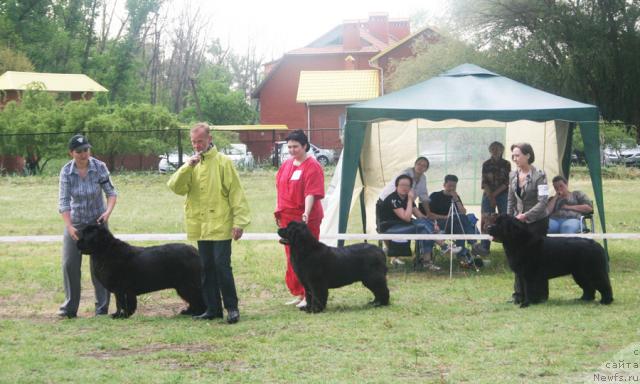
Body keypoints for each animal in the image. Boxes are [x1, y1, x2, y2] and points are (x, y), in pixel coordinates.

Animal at [76, 225, 204, 318]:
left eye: (86, 234)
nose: (77, 243)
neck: (105, 250)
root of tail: (196, 252)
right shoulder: (126, 291)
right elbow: (127, 304)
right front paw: (126, 315)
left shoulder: (120, 288)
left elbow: (119, 303)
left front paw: (118, 315)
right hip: (183, 286)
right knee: (194, 299)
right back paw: (189, 312)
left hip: (187, 285)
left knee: (198, 297)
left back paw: (198, 313)